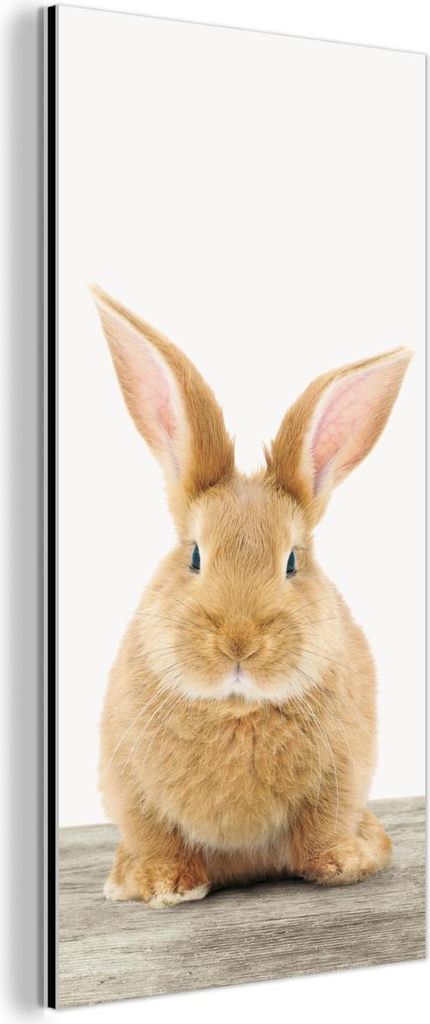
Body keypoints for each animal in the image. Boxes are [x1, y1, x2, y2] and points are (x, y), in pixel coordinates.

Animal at [91, 284, 411, 908]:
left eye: (292, 561)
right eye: (194, 555)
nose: (239, 643)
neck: (237, 707)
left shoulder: (339, 778)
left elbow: (321, 827)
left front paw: (343, 864)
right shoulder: (132, 786)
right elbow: (157, 835)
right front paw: (163, 886)